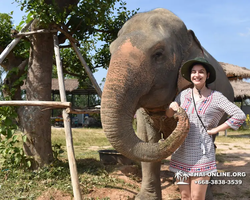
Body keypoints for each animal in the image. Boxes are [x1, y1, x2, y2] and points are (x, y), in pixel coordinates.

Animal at [100, 8, 233, 200]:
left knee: (212, 143)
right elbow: (147, 139)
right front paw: (145, 198)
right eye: (111, 51)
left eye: (158, 54)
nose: (178, 112)